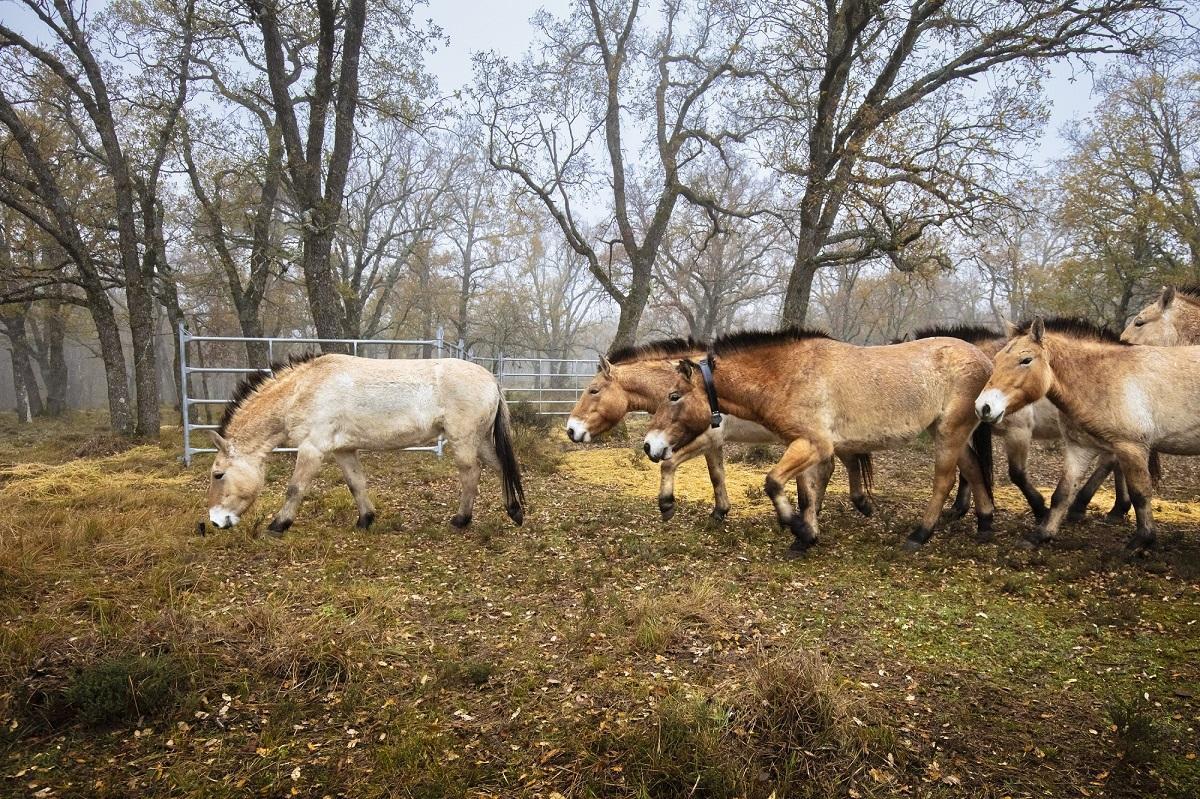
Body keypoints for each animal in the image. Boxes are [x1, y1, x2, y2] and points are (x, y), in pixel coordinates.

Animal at [204, 353, 525, 535]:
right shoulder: (343, 450)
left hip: (464, 440)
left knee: (471, 474)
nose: (215, 521)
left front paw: (278, 525)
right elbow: (356, 484)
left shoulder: (312, 449)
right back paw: (515, 511)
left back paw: (461, 520)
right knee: (501, 468)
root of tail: (491, 379)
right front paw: (366, 520)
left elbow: (295, 488)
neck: (304, 389)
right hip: (480, 440)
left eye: (218, 474)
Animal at [565, 338, 877, 522]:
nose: (570, 429)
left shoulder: (704, 438)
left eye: (593, 390)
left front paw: (667, 505)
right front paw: (720, 511)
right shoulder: (713, 443)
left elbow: (668, 463)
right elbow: (716, 475)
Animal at [642, 329, 995, 553]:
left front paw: (797, 528)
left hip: (949, 432)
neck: (790, 375)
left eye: (674, 396)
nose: (649, 445)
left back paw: (919, 536)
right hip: (946, 432)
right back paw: (985, 524)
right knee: (973, 468)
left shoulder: (814, 445)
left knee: (944, 480)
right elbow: (808, 493)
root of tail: (986, 361)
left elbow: (775, 483)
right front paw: (806, 537)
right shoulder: (807, 447)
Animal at [975, 317, 1200, 550]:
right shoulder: (1079, 448)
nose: (984, 407)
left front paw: (1142, 540)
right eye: (997, 359)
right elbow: (1062, 493)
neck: (1105, 375)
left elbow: (1141, 494)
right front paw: (1041, 534)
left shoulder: (1131, 447)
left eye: (1026, 360)